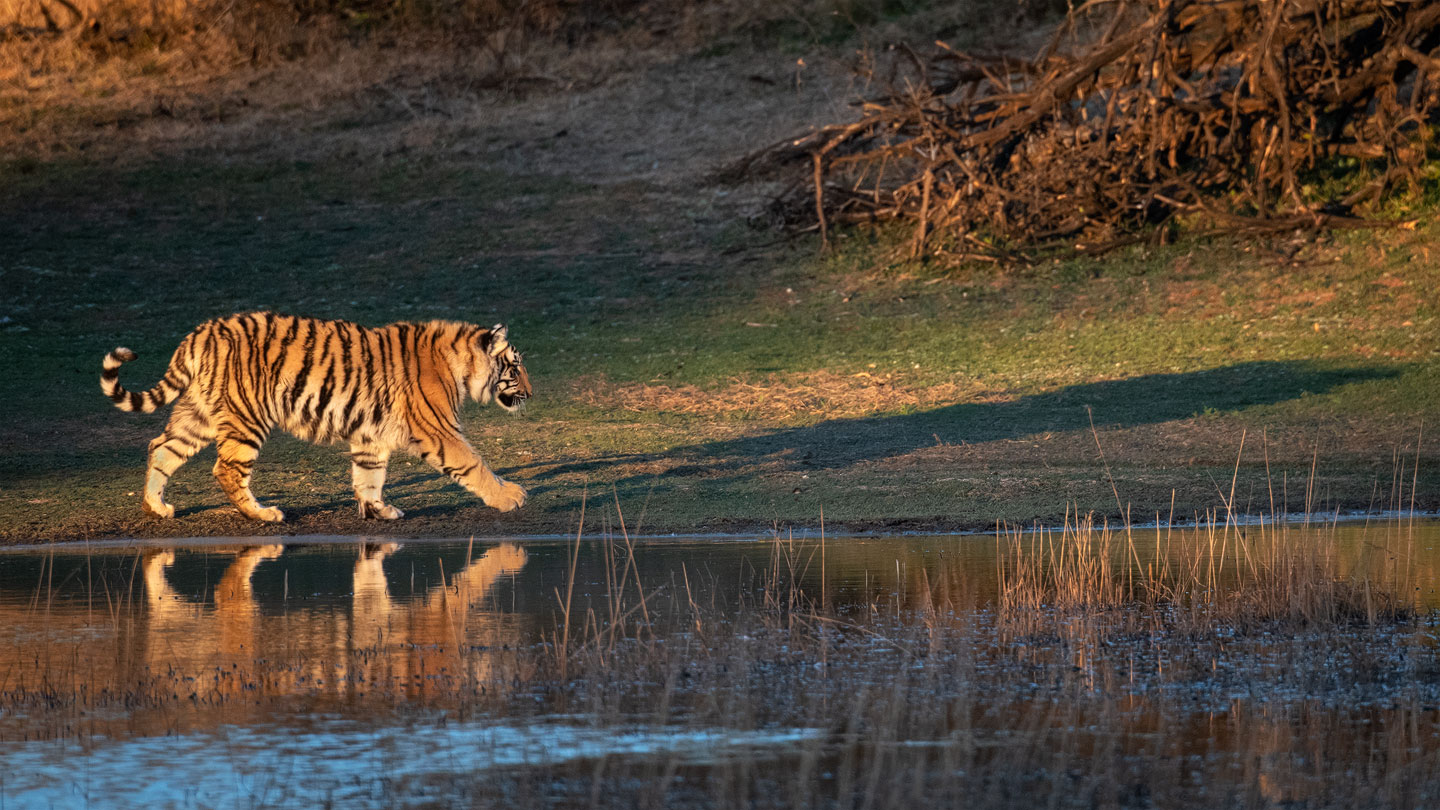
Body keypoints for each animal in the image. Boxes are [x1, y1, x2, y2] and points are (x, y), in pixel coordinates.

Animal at [101, 312, 532, 518]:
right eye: (514, 367)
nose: (531, 392)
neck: (458, 364)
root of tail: (199, 333)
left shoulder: (371, 435)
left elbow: (369, 477)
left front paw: (379, 511)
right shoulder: (440, 431)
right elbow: (476, 464)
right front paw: (510, 496)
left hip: (200, 414)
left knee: (161, 448)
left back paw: (156, 507)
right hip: (246, 417)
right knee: (226, 470)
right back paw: (264, 515)